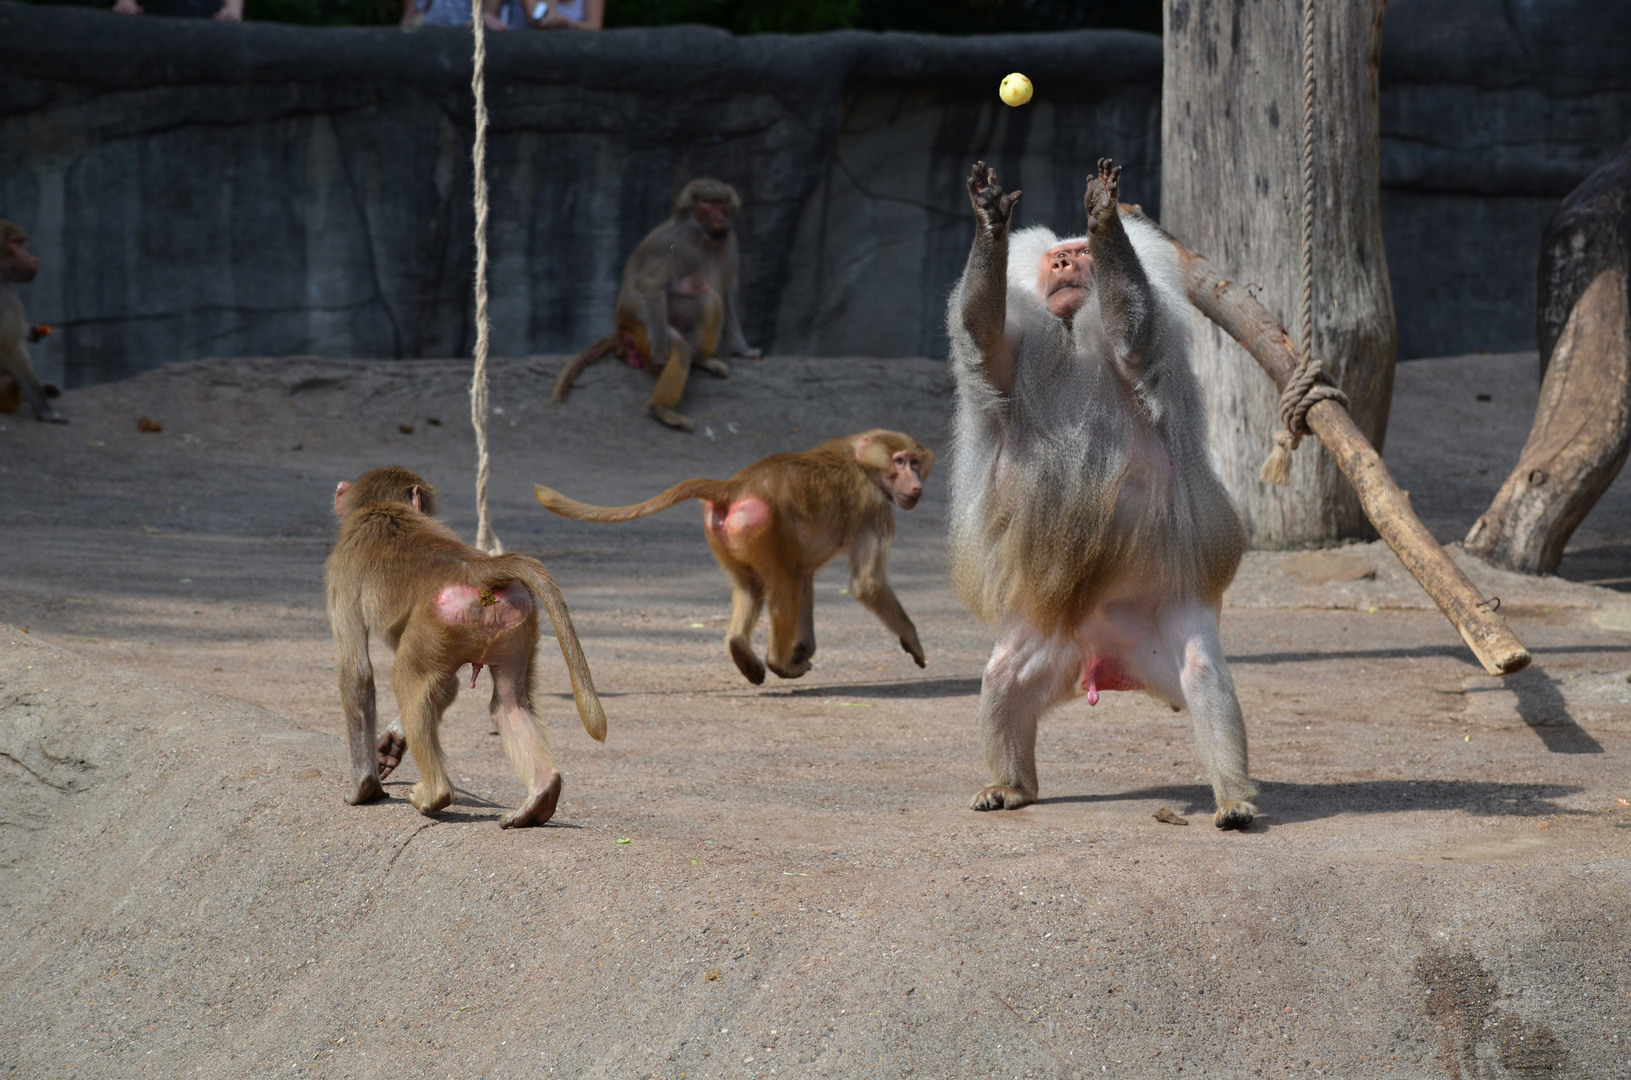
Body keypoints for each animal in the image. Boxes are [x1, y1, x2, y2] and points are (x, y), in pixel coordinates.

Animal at [551, 177, 760, 430]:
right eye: (707, 203)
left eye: (719, 202)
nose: (719, 218)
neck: (703, 236)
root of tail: (622, 328)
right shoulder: (674, 241)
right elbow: (652, 285)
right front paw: (661, 351)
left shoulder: (730, 242)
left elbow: (727, 296)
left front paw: (743, 350)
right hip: (644, 333)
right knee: (689, 328)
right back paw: (660, 408)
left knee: (711, 301)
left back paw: (701, 359)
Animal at [952, 160, 1252, 832]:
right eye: (1055, 258)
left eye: (1082, 255)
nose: (1067, 261)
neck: (1071, 330)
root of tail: (1107, 654)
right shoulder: (1011, 351)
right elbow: (983, 333)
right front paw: (989, 217)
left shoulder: (1145, 339)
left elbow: (1133, 329)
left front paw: (1104, 213)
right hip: (1047, 639)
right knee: (1002, 681)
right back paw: (1010, 787)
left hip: (1169, 620)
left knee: (1203, 678)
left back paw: (1234, 800)